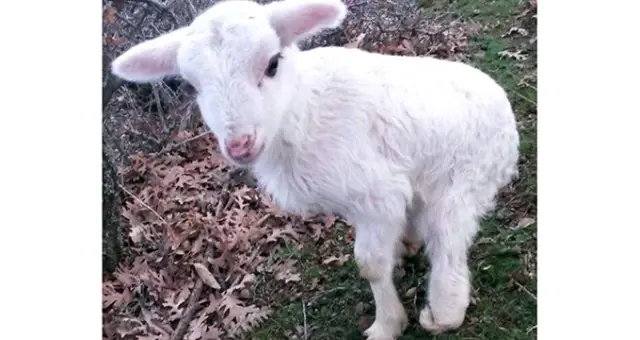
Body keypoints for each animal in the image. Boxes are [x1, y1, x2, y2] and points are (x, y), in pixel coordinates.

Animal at [110, 0, 520, 338]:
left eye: (273, 64)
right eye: (193, 86)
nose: (239, 144)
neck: (301, 111)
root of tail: (509, 119)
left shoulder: (378, 193)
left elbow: (370, 265)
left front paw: (387, 325)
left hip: (464, 178)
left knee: (449, 240)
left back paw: (444, 312)